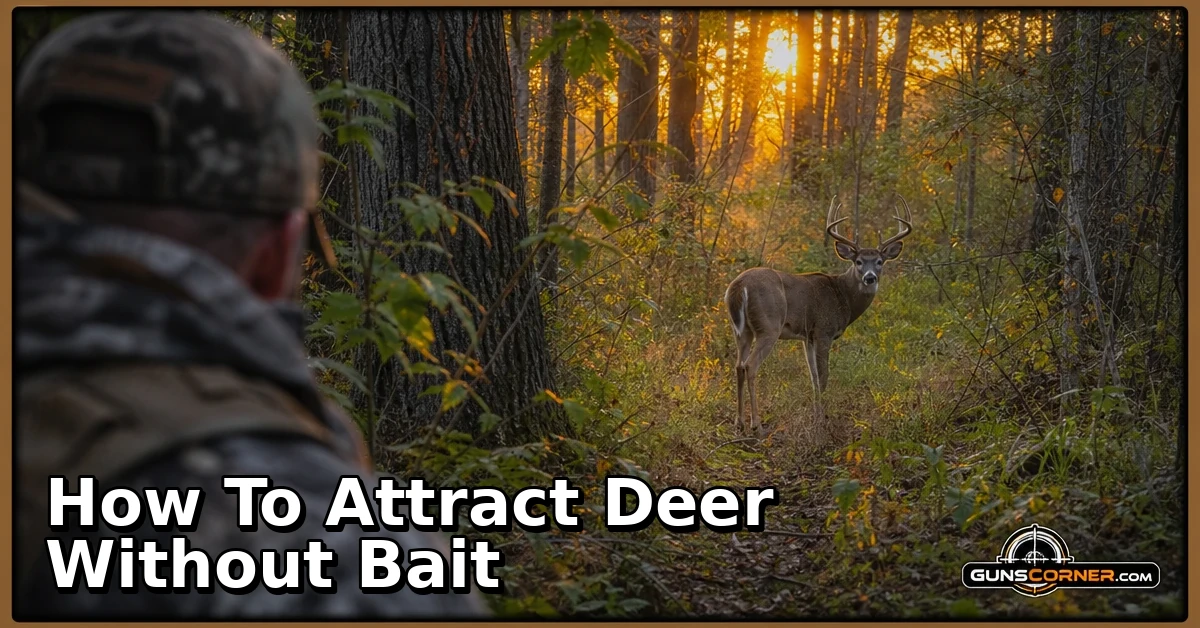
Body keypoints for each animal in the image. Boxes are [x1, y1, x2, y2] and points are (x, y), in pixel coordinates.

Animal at [724, 197, 913, 435]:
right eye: (858, 261)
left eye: (880, 261)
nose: (870, 278)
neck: (843, 296)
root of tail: (738, 287)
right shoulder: (824, 330)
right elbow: (823, 377)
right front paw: (823, 418)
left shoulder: (808, 336)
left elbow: (813, 377)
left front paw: (816, 413)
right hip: (768, 326)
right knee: (750, 366)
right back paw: (756, 424)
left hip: (741, 330)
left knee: (738, 366)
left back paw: (739, 422)